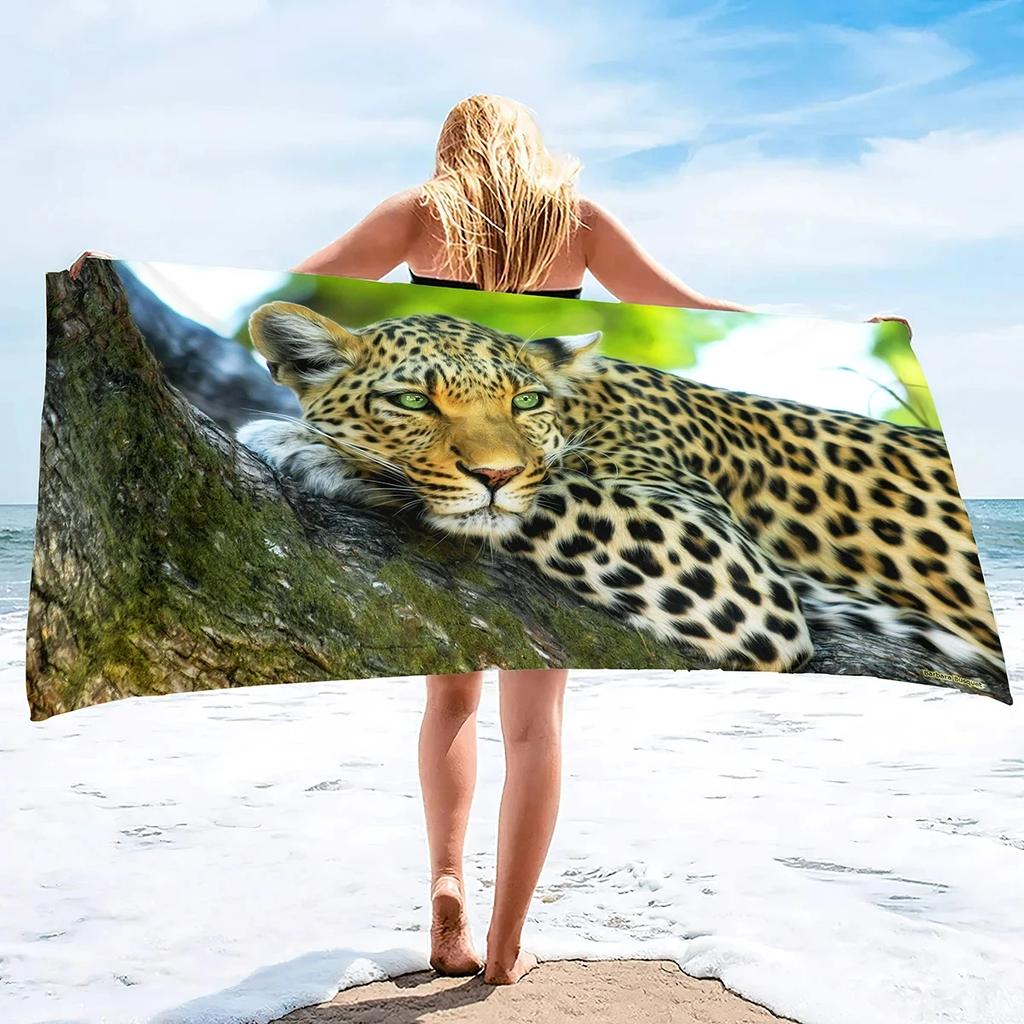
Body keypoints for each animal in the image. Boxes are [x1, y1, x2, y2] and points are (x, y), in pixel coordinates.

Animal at [236, 301, 1006, 683]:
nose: (495, 474)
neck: (582, 408)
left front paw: (311, 447)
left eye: (524, 401)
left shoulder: (727, 563)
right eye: (411, 401)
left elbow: (547, 492)